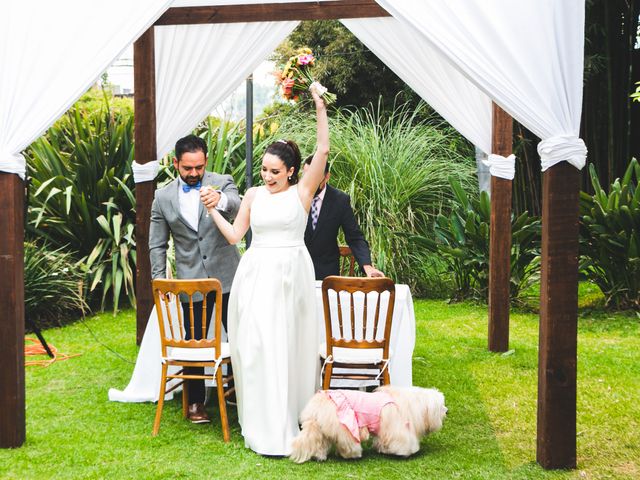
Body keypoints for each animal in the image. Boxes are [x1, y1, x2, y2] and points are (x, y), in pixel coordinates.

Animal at [290, 386, 444, 462]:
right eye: (441, 407)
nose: (447, 411)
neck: (413, 403)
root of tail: (318, 405)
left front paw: (383, 449)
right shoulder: (397, 429)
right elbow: (403, 442)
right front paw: (406, 452)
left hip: (321, 429)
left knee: (320, 444)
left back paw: (319, 457)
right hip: (346, 426)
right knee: (348, 444)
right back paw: (353, 454)